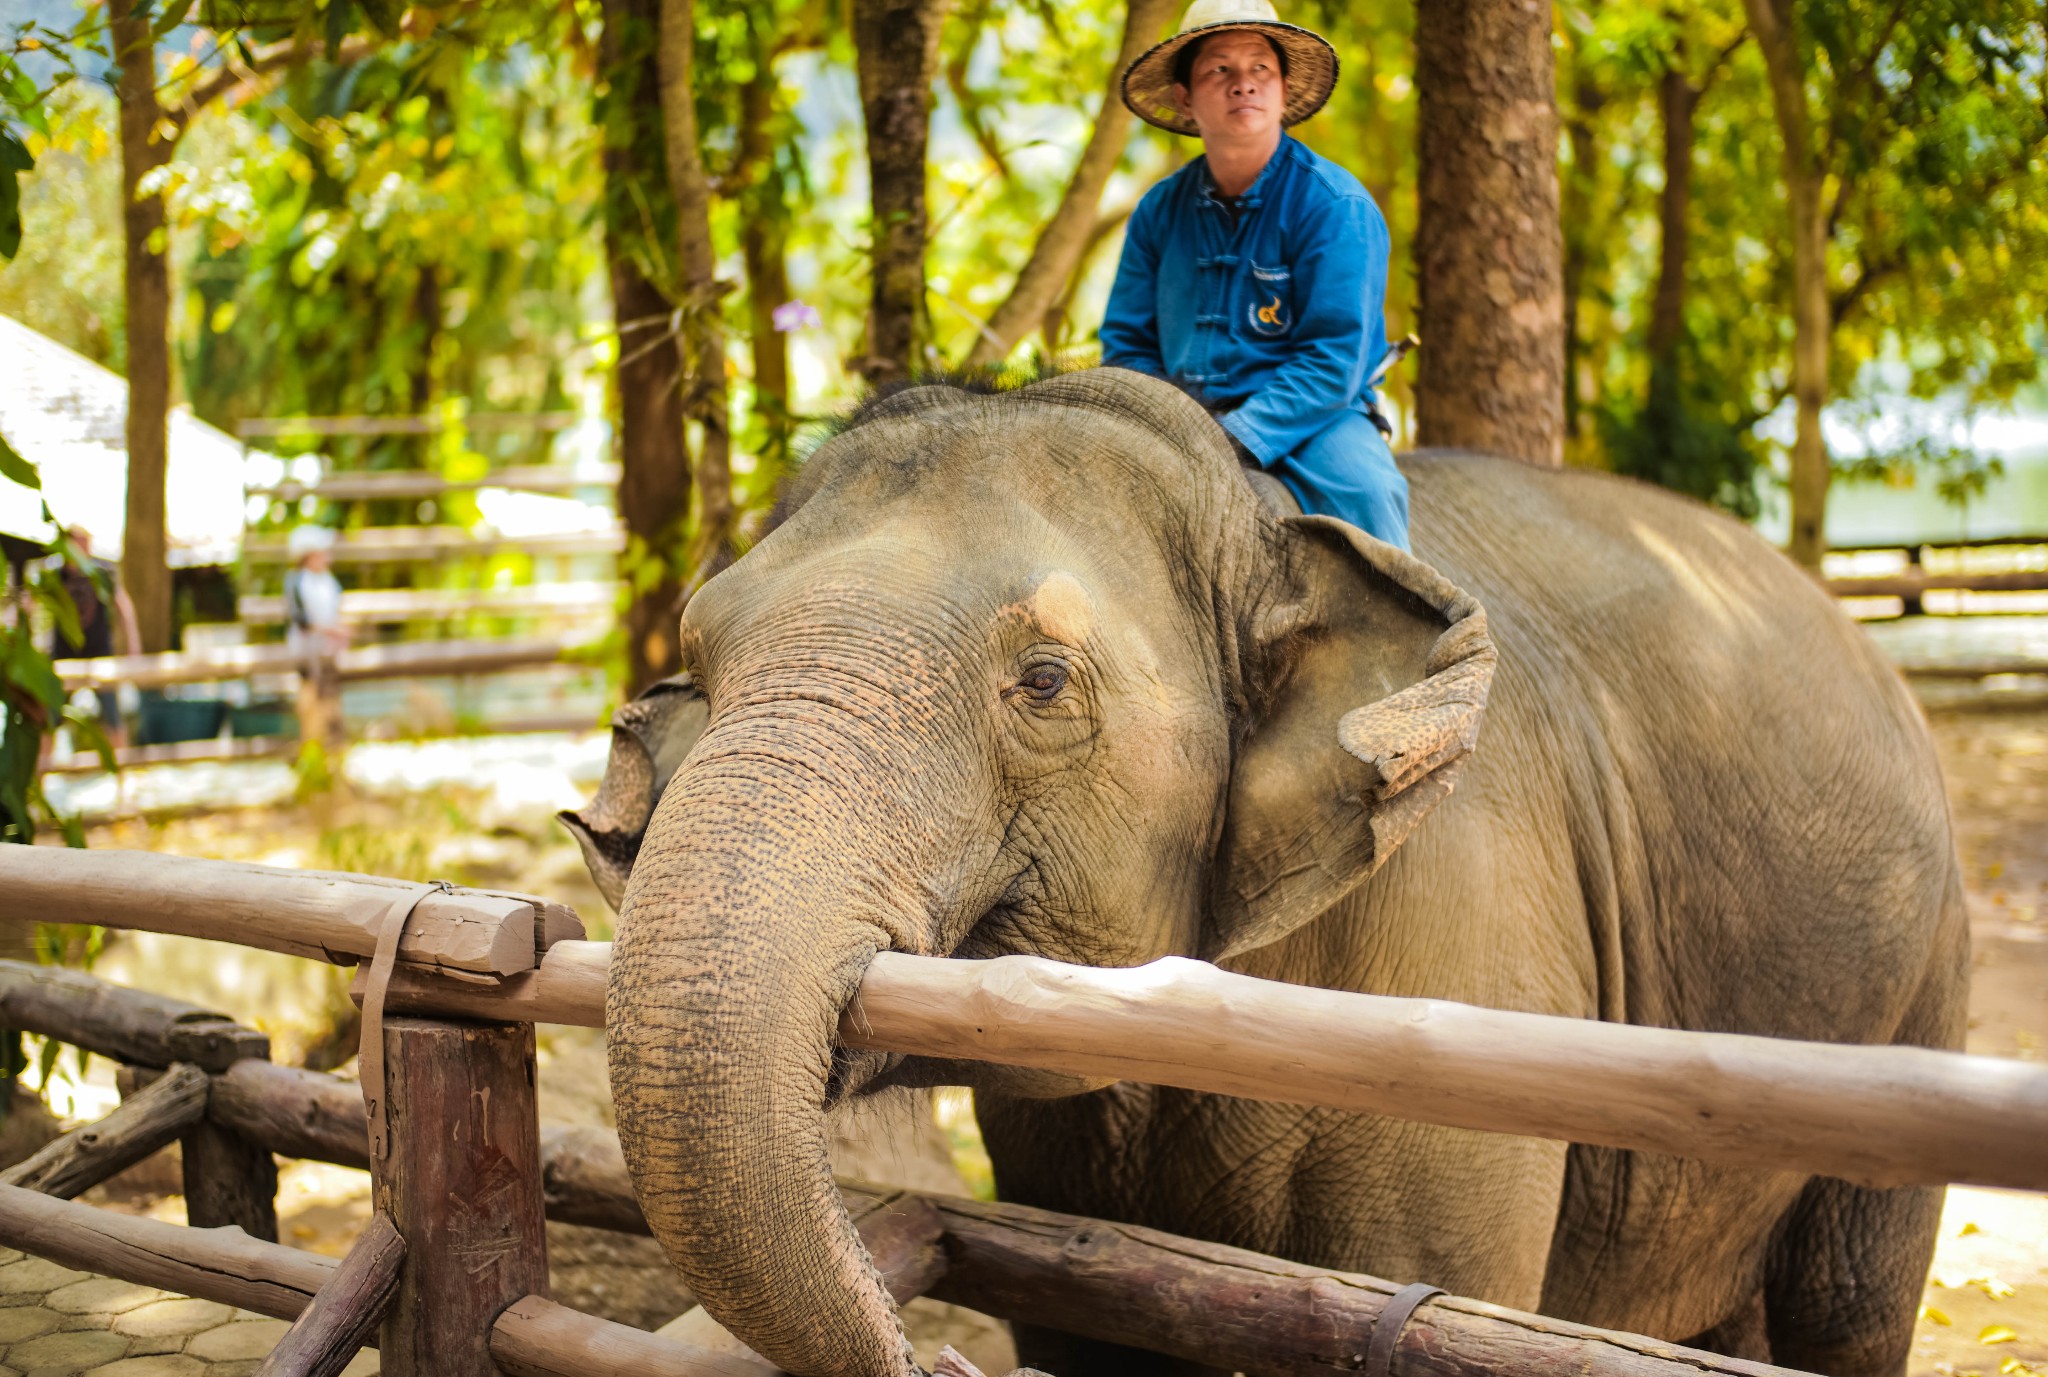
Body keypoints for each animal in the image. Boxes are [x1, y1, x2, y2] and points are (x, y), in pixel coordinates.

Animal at [565, 364, 1966, 1377]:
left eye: (1042, 683)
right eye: (701, 659)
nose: (939, 1362)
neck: (1254, 513)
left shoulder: (1463, 974)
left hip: (1914, 982)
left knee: (1847, 1306)